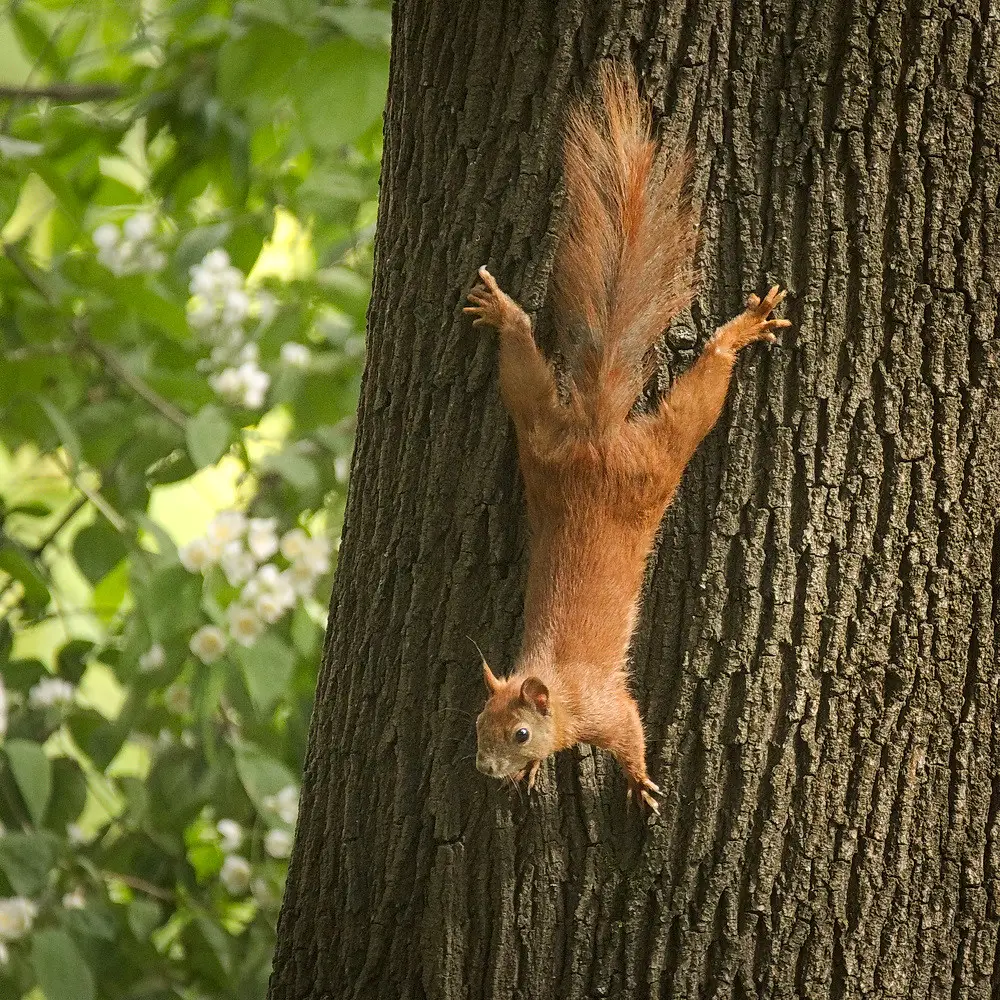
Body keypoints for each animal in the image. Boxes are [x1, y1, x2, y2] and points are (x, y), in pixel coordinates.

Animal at [463, 66, 790, 813]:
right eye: (477, 724)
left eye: (519, 731)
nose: (486, 771)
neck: (556, 685)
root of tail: (595, 438)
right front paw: (531, 779)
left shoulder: (606, 706)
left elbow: (633, 732)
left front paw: (639, 782)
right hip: (540, 435)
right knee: (523, 368)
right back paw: (504, 315)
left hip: (655, 458)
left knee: (698, 398)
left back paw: (737, 334)